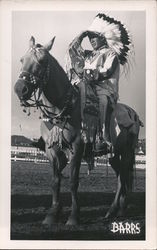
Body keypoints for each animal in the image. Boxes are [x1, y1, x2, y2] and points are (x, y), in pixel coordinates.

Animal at [14, 36, 143, 227]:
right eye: (22, 60)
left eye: (42, 61)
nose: (19, 88)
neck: (63, 107)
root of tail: (132, 113)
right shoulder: (52, 151)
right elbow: (55, 182)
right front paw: (52, 214)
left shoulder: (76, 148)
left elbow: (73, 182)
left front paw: (74, 216)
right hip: (114, 153)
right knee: (121, 175)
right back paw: (116, 210)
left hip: (127, 151)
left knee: (123, 176)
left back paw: (116, 210)